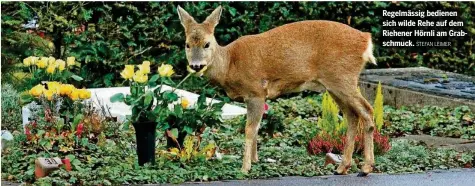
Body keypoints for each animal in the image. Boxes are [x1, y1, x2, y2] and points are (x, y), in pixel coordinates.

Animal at [177, 5, 378, 177]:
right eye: (187, 44)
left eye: (207, 44)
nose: (195, 66)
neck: (229, 65)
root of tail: (366, 40)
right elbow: (257, 127)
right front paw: (255, 160)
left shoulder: (256, 91)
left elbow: (249, 129)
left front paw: (245, 167)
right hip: (335, 85)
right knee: (352, 116)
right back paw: (342, 167)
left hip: (342, 78)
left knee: (367, 111)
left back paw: (365, 168)